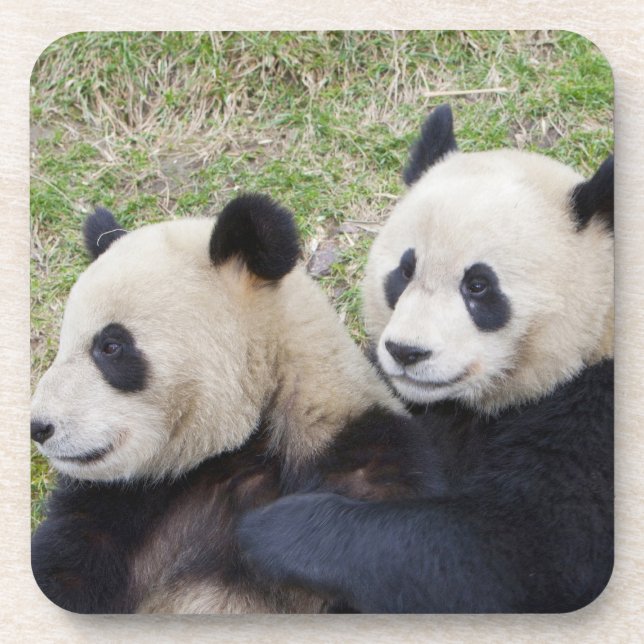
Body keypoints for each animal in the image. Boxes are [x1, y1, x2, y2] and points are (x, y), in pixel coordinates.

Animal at [236, 105, 614, 613]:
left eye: (478, 285)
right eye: (404, 270)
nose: (406, 351)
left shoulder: (594, 419)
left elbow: (515, 552)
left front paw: (277, 529)